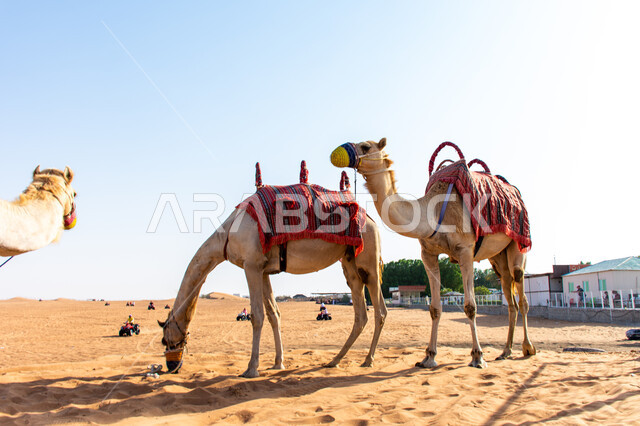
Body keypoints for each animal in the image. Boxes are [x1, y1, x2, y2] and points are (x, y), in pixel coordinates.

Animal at [159, 165, 387, 378]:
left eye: (164, 338)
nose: (171, 366)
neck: (227, 235)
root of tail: (371, 220)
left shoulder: (251, 265)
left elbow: (257, 316)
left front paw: (251, 369)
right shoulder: (264, 270)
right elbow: (273, 314)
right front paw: (278, 363)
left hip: (368, 256)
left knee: (380, 310)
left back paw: (368, 360)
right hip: (349, 261)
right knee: (360, 312)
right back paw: (335, 360)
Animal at [330, 138, 535, 368]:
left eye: (366, 147)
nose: (339, 152)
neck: (433, 212)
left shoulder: (465, 251)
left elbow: (470, 306)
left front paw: (477, 357)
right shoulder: (428, 254)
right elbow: (435, 308)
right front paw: (428, 356)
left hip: (519, 243)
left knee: (521, 292)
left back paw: (527, 348)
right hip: (497, 256)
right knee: (509, 294)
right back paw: (506, 351)